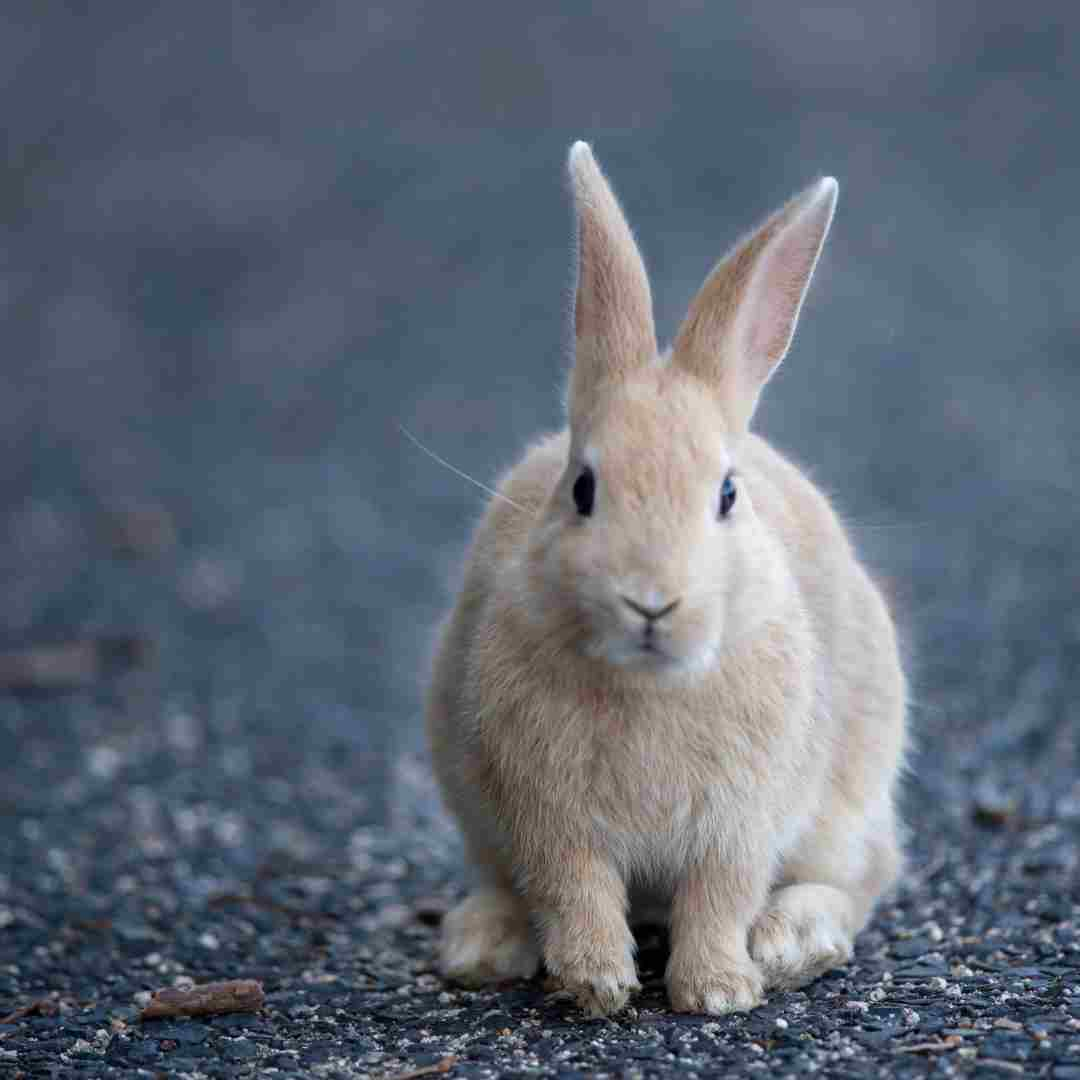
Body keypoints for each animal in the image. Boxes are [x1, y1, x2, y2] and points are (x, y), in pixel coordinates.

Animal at [425, 141, 907, 1010]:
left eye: (727, 494)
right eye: (583, 489)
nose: (652, 603)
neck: (649, 683)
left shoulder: (740, 821)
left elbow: (721, 896)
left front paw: (717, 990)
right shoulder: (550, 818)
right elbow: (574, 889)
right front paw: (596, 984)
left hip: (849, 809)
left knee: (861, 880)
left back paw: (791, 943)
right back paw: (483, 945)